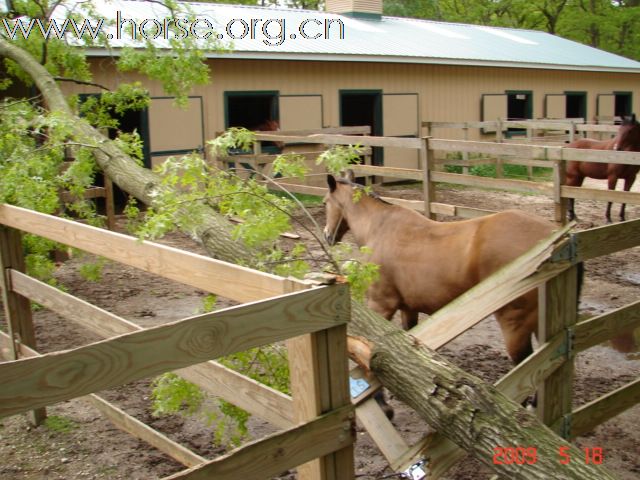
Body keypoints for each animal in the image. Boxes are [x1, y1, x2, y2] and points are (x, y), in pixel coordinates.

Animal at [324, 174, 556, 366]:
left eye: (325, 202)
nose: (327, 236)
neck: (380, 228)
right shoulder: (408, 308)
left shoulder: (381, 305)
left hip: (515, 325)